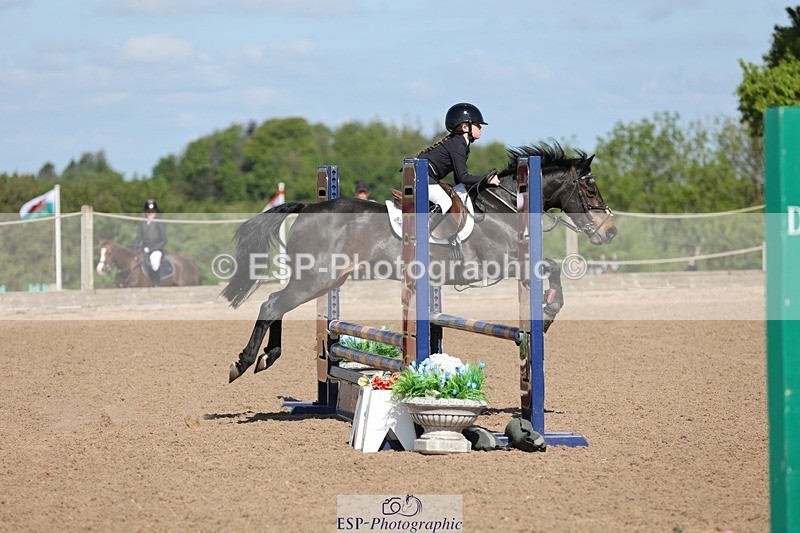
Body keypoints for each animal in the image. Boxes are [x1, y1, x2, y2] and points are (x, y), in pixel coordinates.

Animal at [222, 143, 617, 383]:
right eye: (590, 188)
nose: (609, 232)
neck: (504, 207)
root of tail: (308, 207)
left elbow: (552, 269)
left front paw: (548, 314)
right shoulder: (500, 264)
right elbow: (550, 267)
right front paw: (547, 316)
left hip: (325, 280)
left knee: (276, 304)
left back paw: (267, 357)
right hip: (317, 279)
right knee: (272, 304)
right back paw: (243, 362)